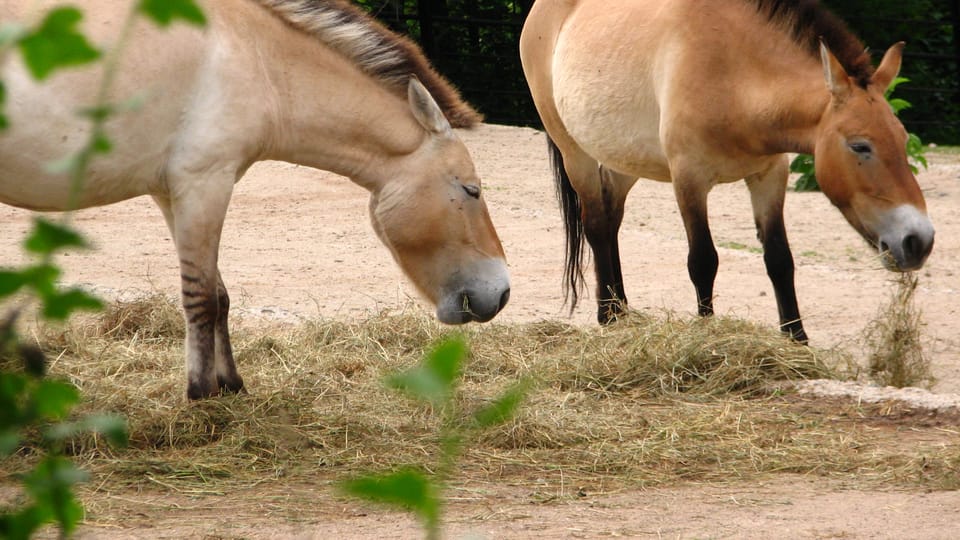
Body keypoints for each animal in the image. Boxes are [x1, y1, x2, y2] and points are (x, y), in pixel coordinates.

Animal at [0, 0, 510, 399]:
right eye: (471, 189)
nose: (502, 292)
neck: (256, 57)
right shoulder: (205, 184)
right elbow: (201, 299)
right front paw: (200, 397)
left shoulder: (172, 194)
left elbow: (220, 296)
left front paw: (230, 387)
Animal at [520, 0, 934, 342]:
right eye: (860, 146)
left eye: (902, 138)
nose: (919, 241)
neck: (734, 72)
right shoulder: (689, 179)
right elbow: (703, 261)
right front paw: (707, 333)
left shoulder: (770, 176)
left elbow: (779, 259)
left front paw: (796, 339)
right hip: (575, 153)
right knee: (594, 225)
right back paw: (607, 315)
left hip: (623, 159)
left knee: (610, 222)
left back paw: (621, 310)